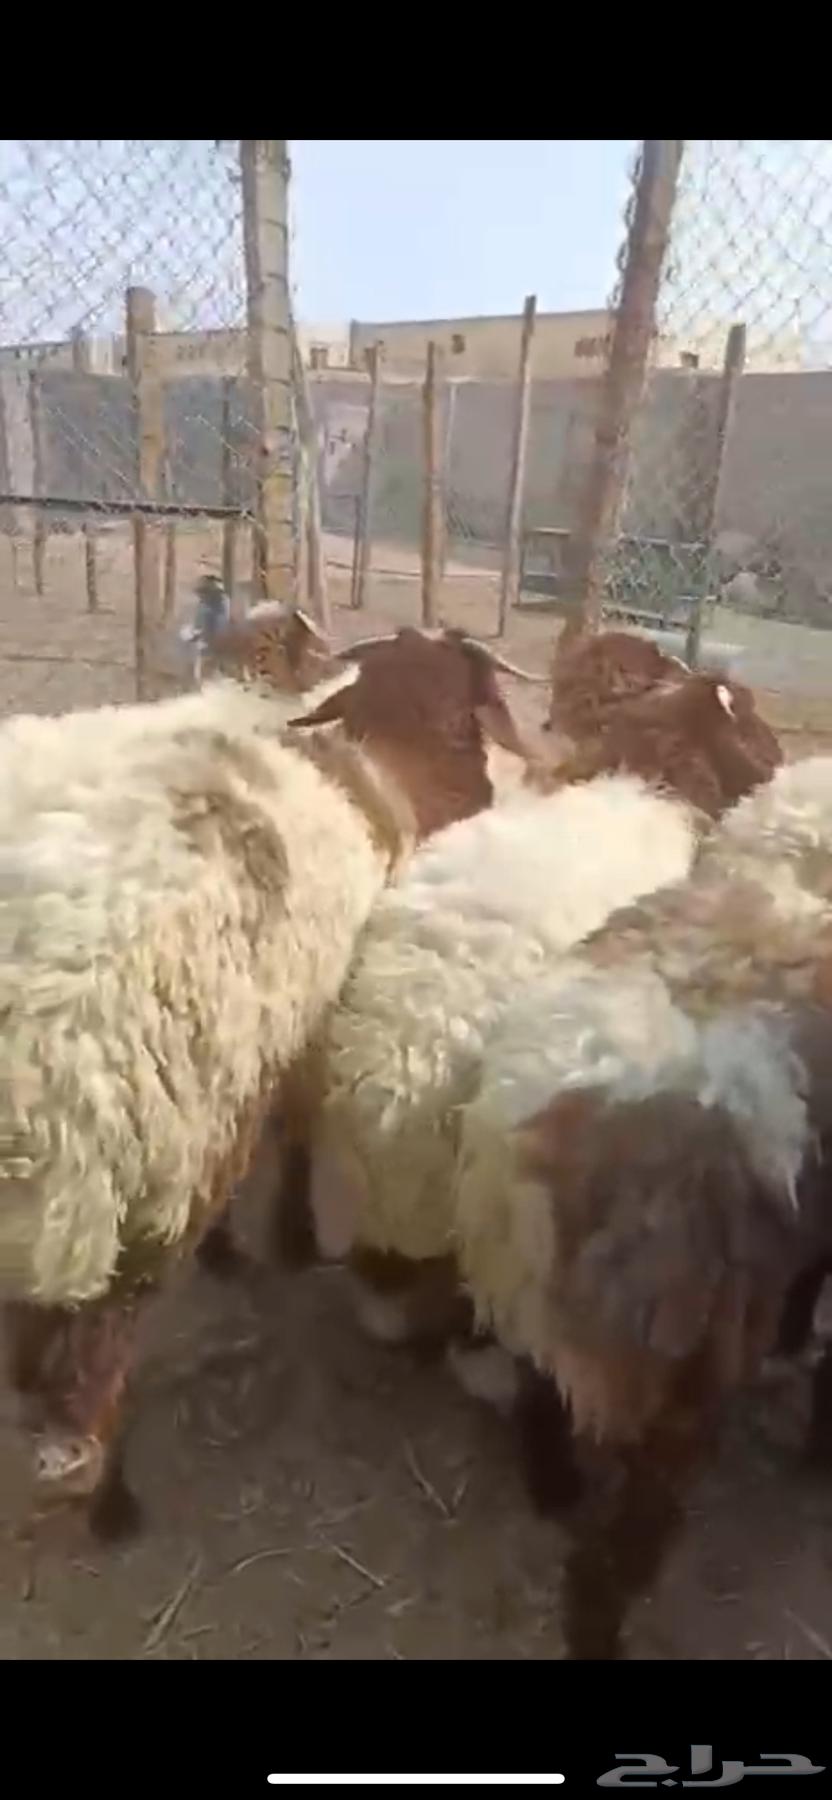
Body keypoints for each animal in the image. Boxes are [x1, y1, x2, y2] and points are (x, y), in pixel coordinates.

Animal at [0, 617, 539, 1540]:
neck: (389, 763)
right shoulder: (306, 1030)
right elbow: (298, 1131)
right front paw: (288, 1236)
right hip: (124, 1171)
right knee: (95, 1358)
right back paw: (103, 1493)